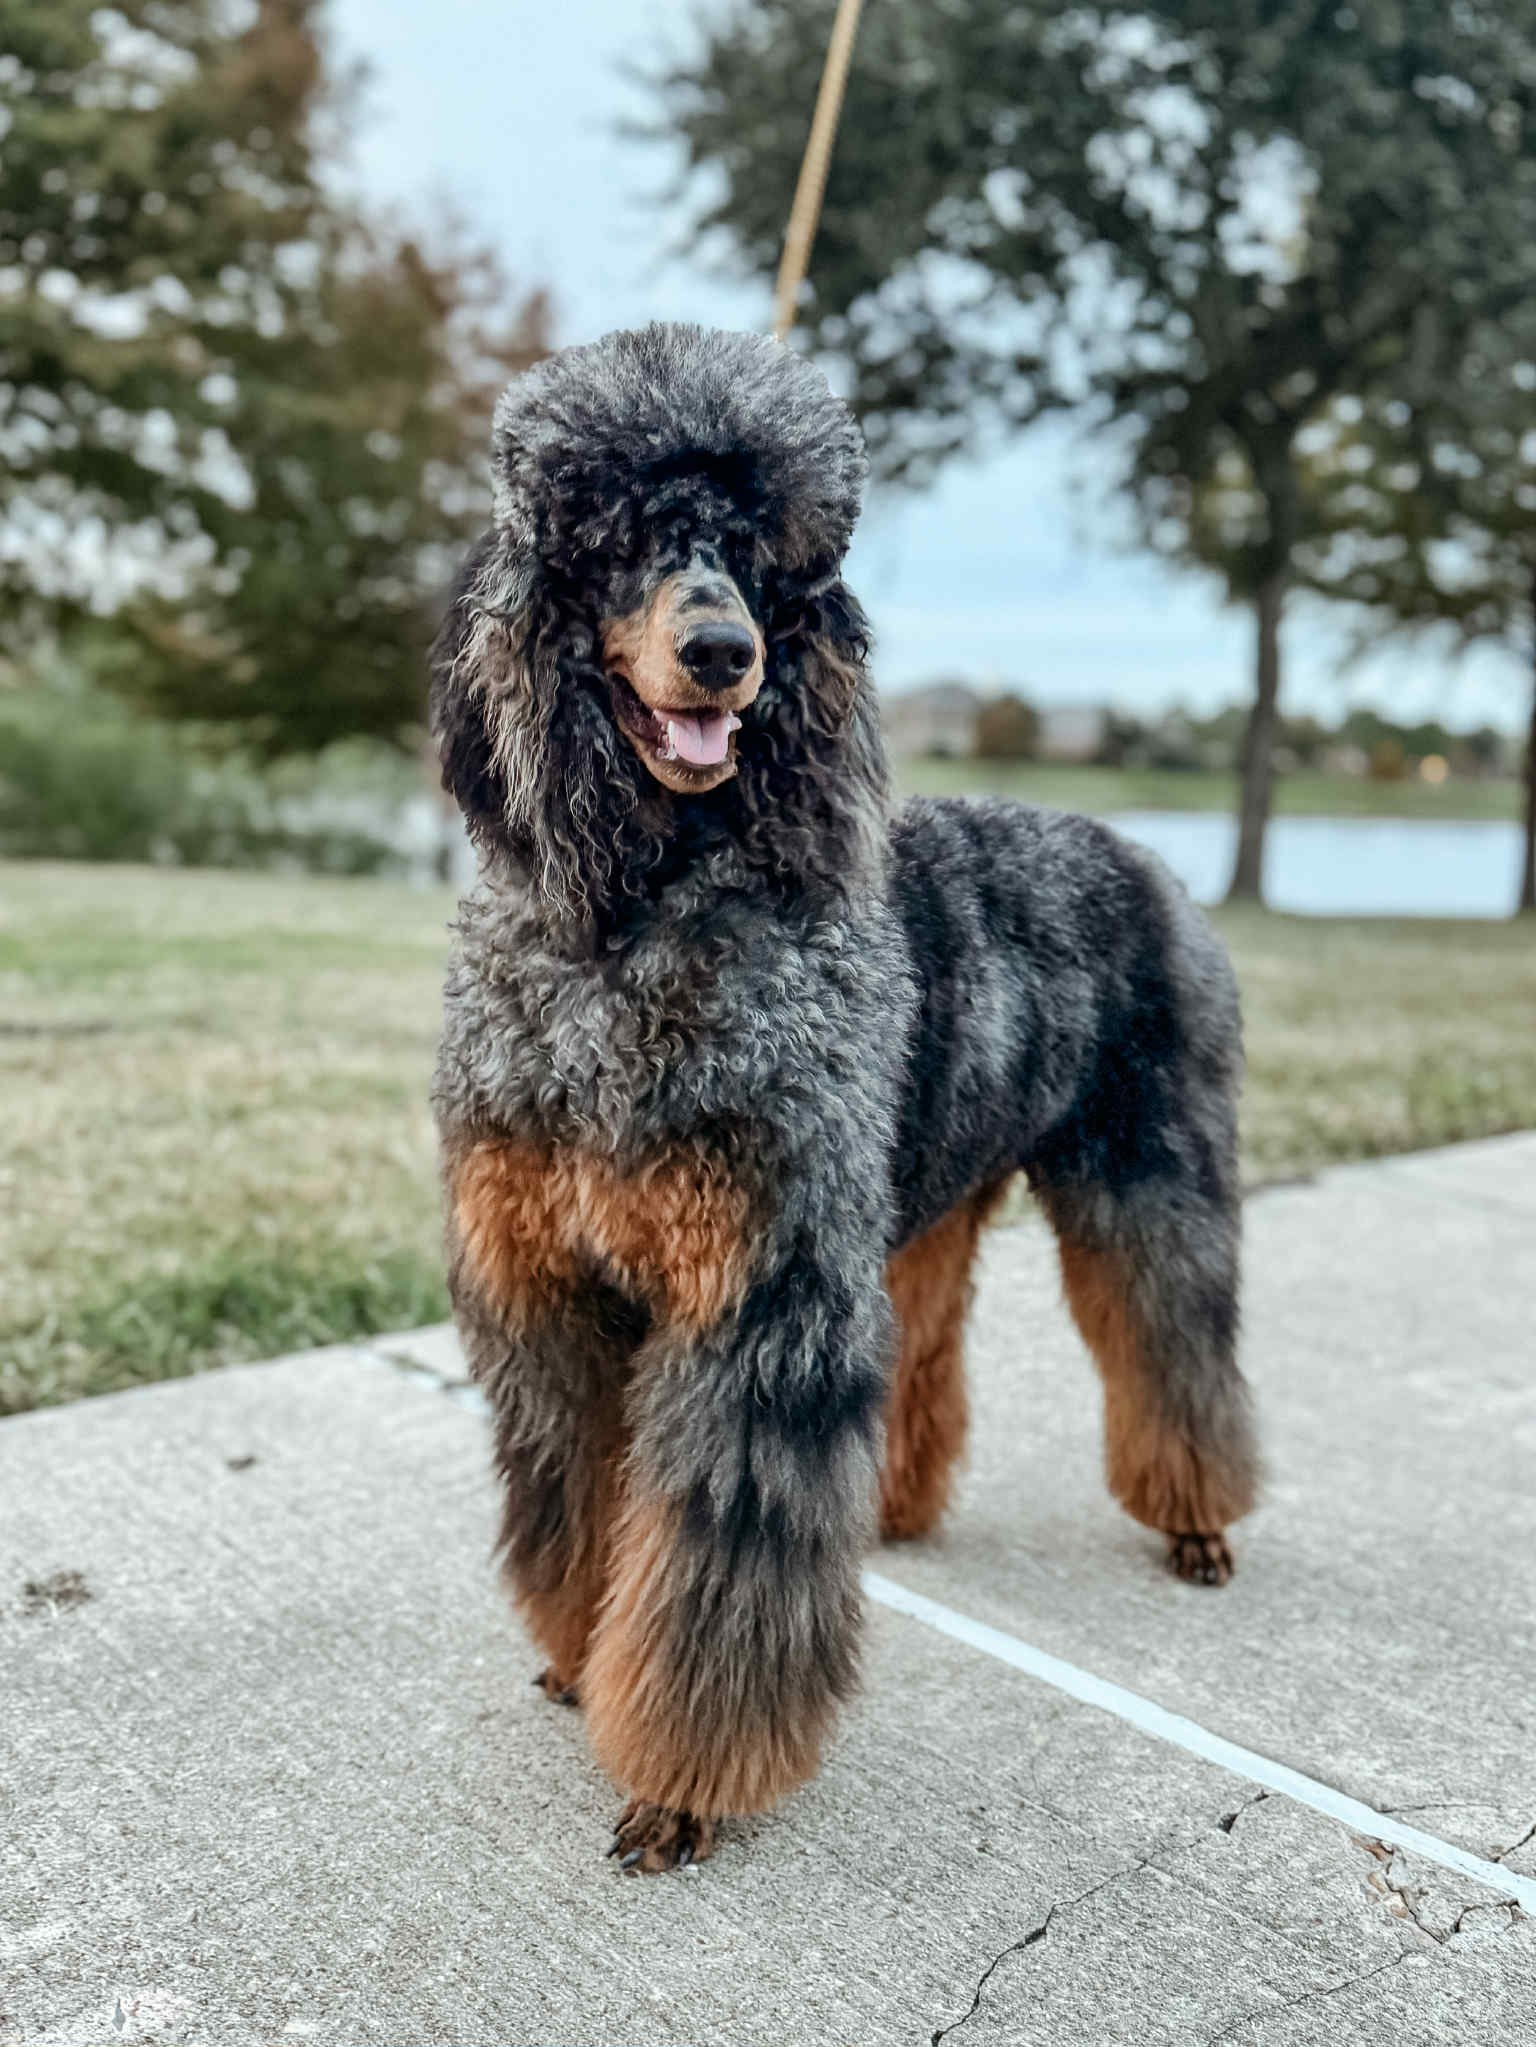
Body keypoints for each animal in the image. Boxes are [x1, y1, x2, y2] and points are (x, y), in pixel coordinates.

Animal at [429, 323, 1258, 1874]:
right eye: (619, 535)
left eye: (759, 555)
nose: (723, 653)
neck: (639, 922)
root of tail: (1150, 859)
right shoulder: (551, 1290)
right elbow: (578, 1503)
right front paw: (581, 1654)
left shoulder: (764, 1292)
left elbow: (719, 1561)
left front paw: (683, 1782)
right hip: (923, 1205)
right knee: (927, 1351)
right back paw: (894, 1510)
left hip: (1150, 1173)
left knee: (1175, 1341)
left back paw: (1199, 1523)